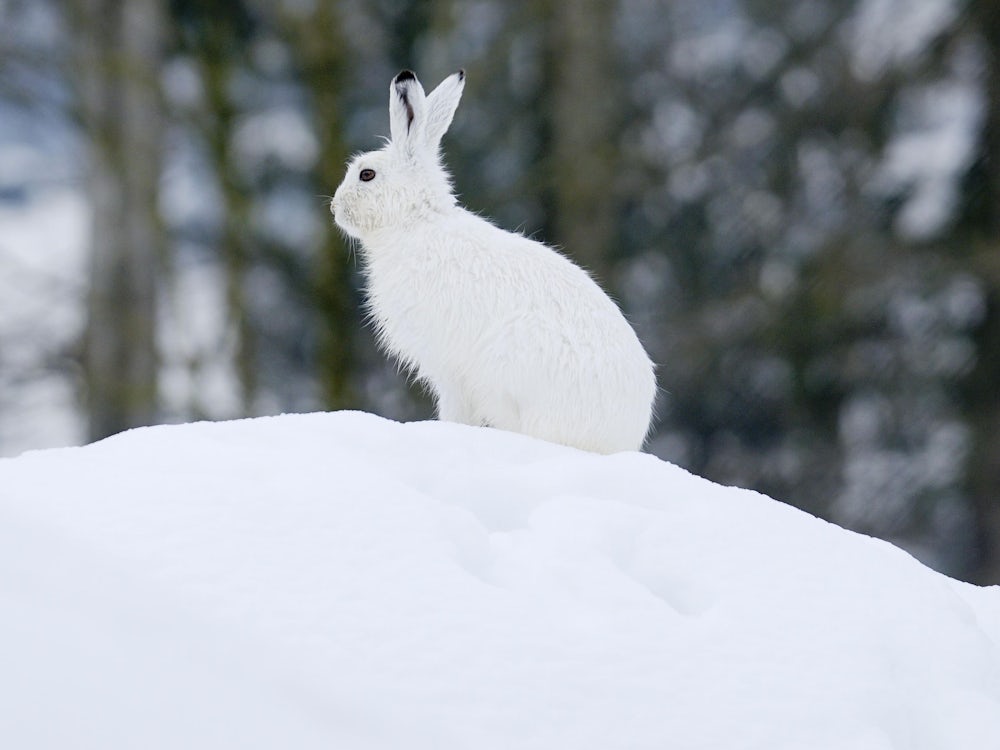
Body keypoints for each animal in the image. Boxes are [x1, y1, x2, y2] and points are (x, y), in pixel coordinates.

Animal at [330, 69, 656, 454]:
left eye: (366, 174)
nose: (335, 208)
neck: (416, 220)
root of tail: (616, 442)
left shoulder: (450, 368)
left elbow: (454, 409)